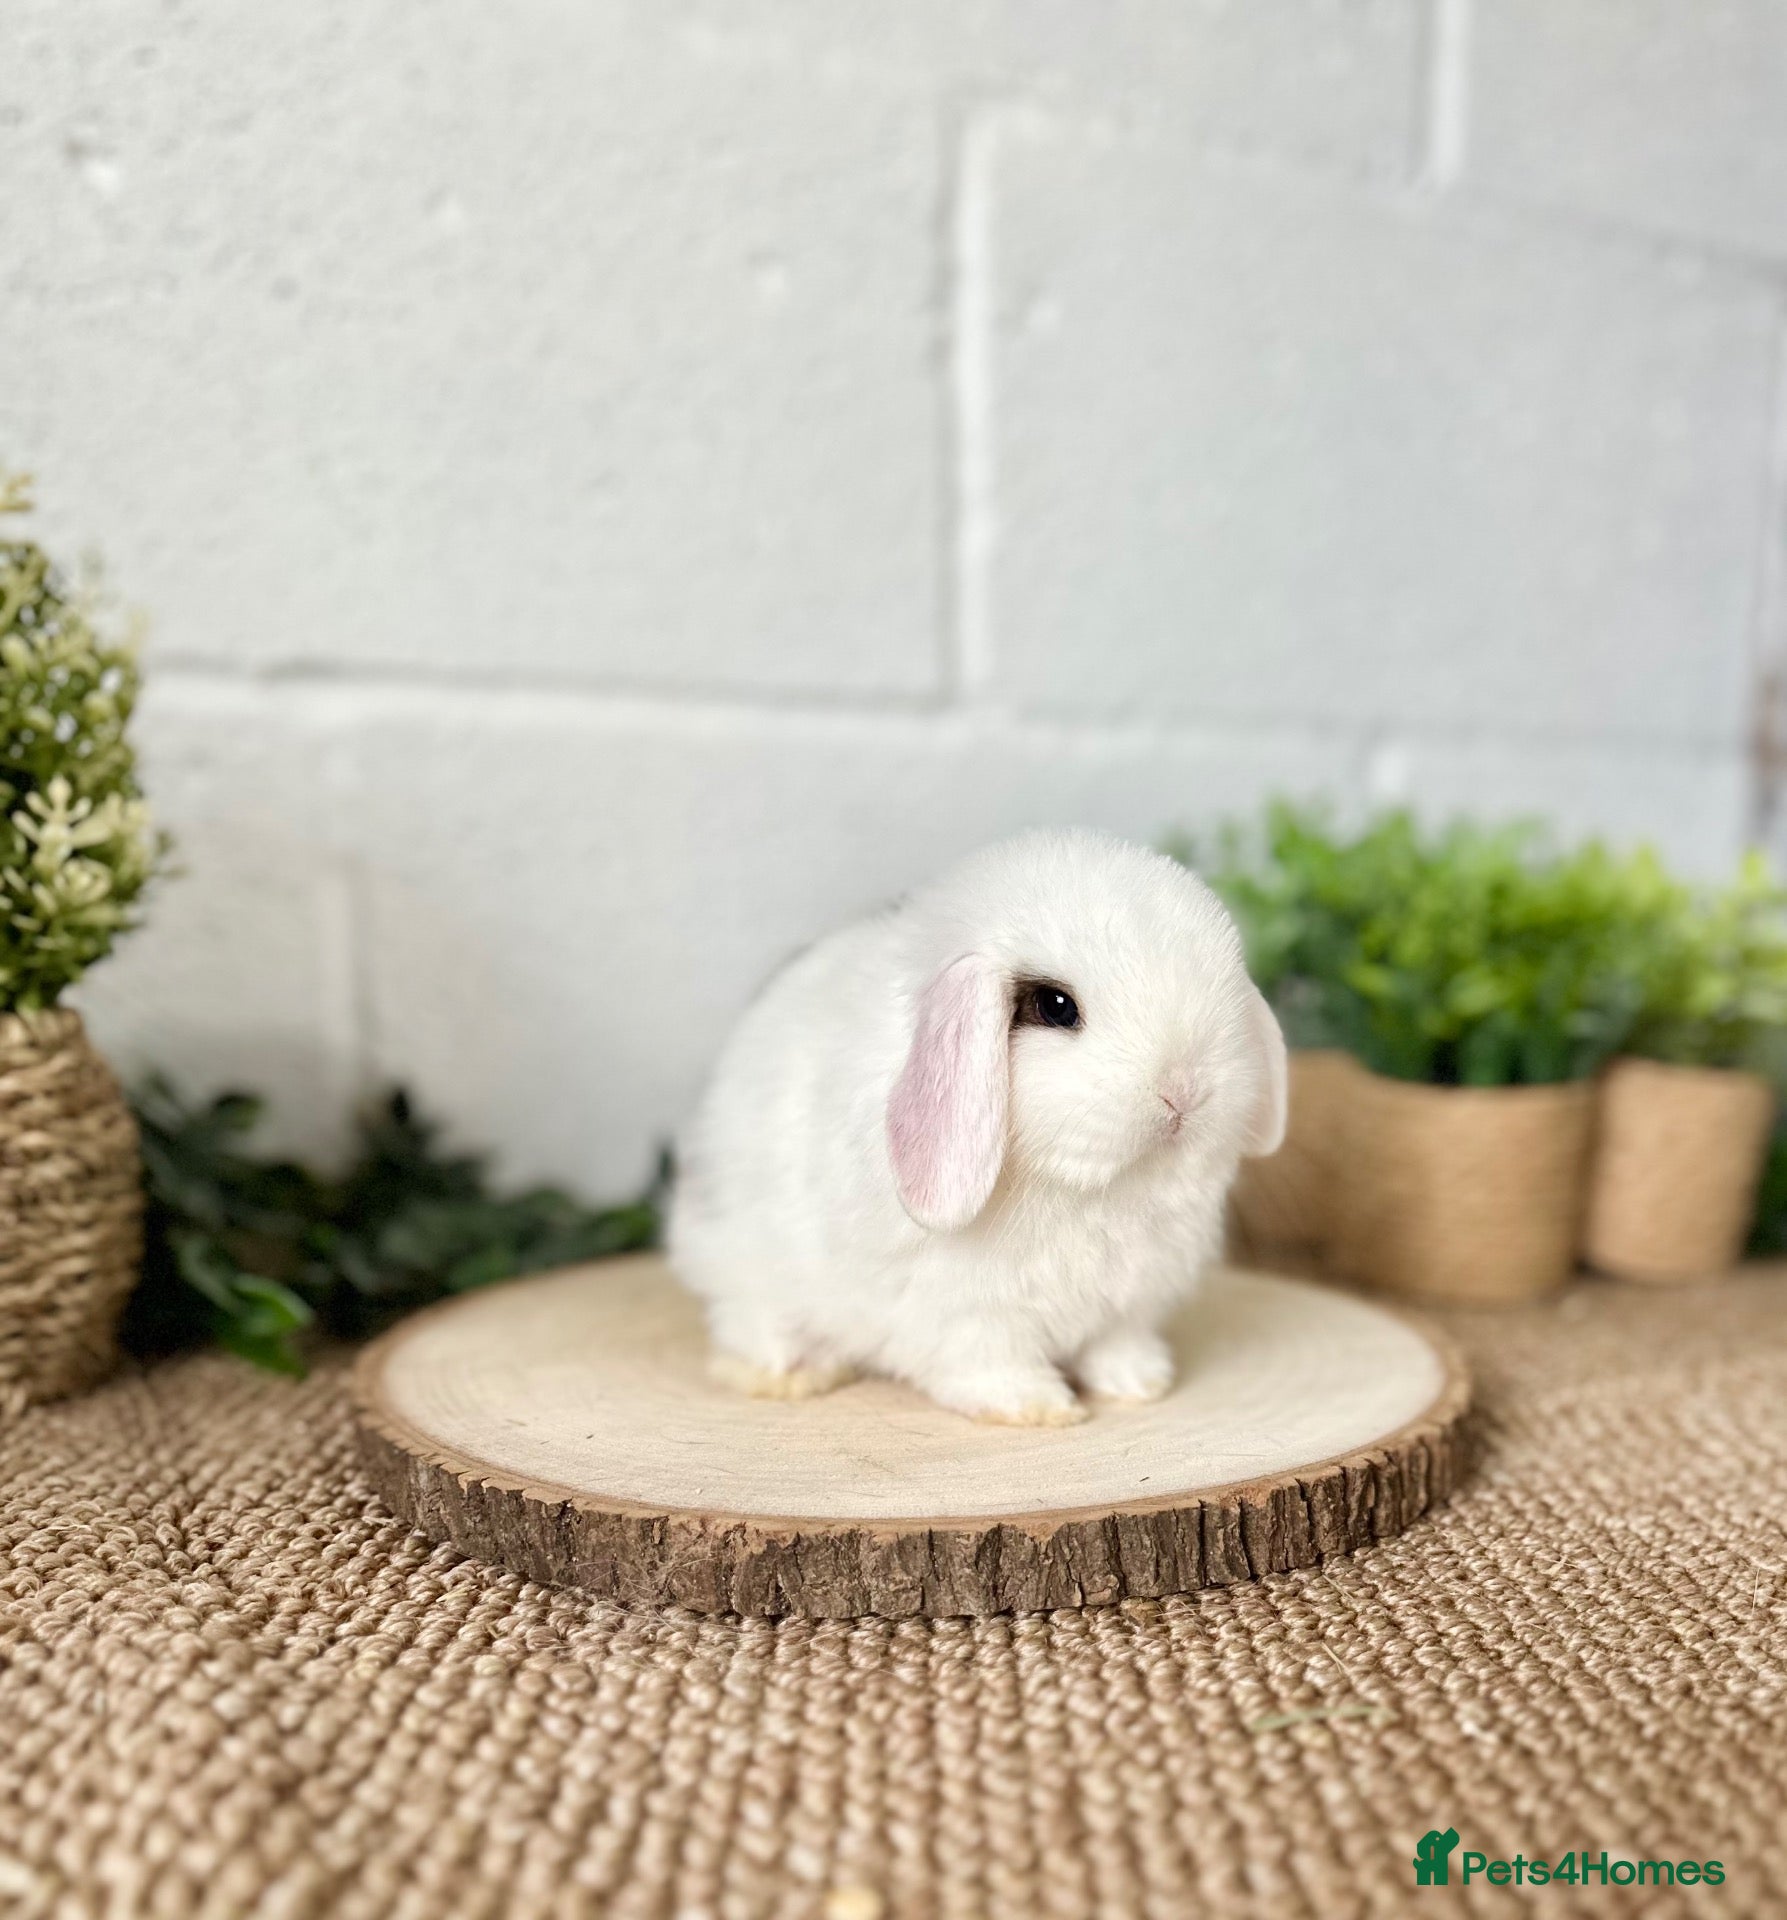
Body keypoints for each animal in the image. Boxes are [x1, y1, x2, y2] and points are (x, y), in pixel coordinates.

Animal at [668, 828, 1287, 1426]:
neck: (1092, 1193)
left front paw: (1142, 1385)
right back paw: (794, 1372)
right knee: (751, 1323)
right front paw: (1039, 1408)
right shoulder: (968, 1315)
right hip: (745, 1266)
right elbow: (991, 1362)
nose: (1184, 1091)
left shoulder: (1128, 1304)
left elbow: (1116, 1346)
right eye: (1056, 1006)